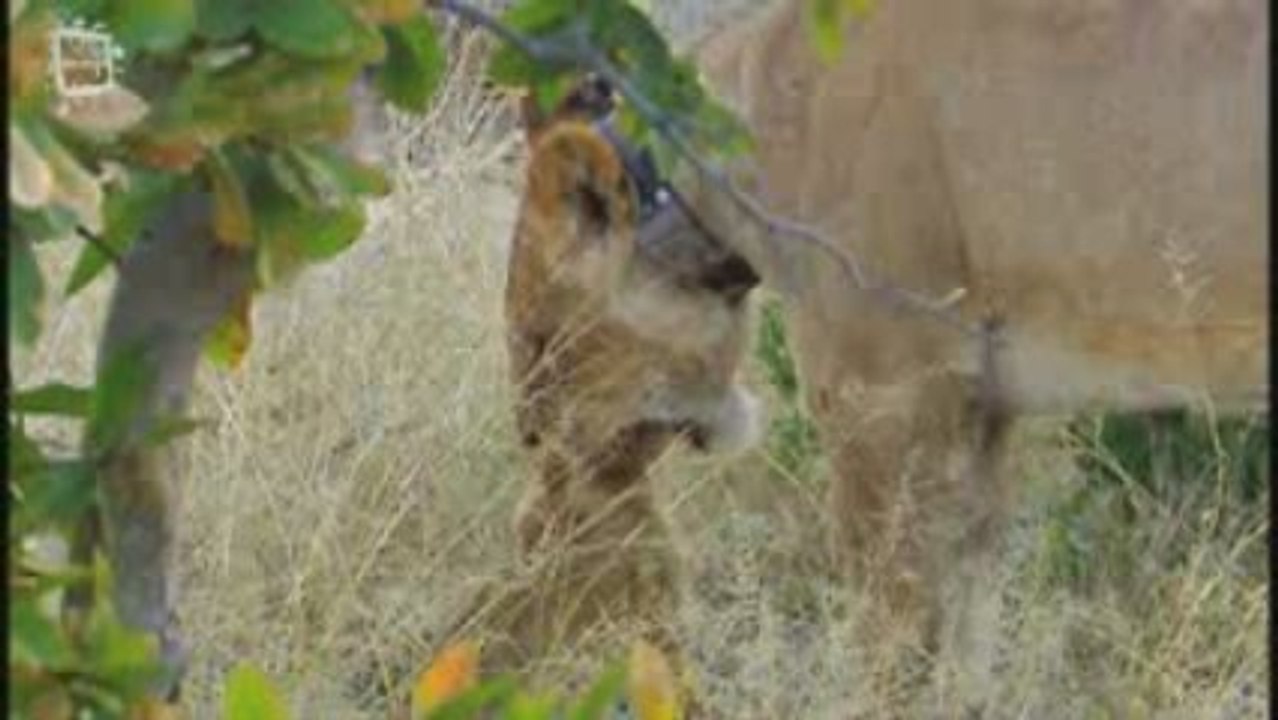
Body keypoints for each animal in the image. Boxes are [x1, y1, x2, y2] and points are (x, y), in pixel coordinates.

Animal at [492, 0, 1267, 700]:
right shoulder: (981, 409)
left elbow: (890, 640)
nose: (530, 437)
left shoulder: (882, 397)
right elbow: (969, 639)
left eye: (537, 336)